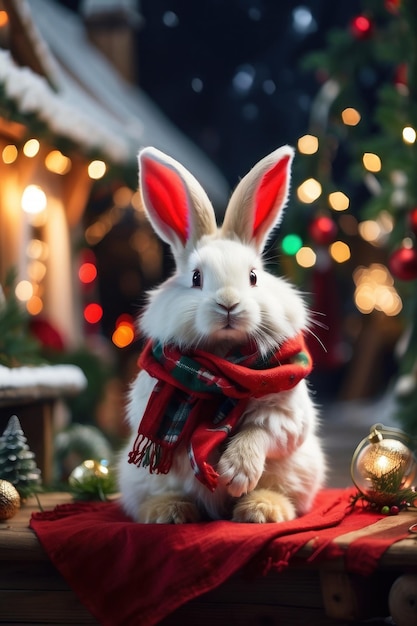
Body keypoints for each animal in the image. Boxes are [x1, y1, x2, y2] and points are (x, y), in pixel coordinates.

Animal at [117, 146, 324, 520]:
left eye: (254, 277)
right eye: (196, 278)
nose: (228, 303)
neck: (225, 364)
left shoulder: (286, 413)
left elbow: (260, 430)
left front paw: (236, 472)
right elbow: (171, 441)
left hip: (299, 470)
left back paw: (261, 509)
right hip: (138, 478)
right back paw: (169, 511)